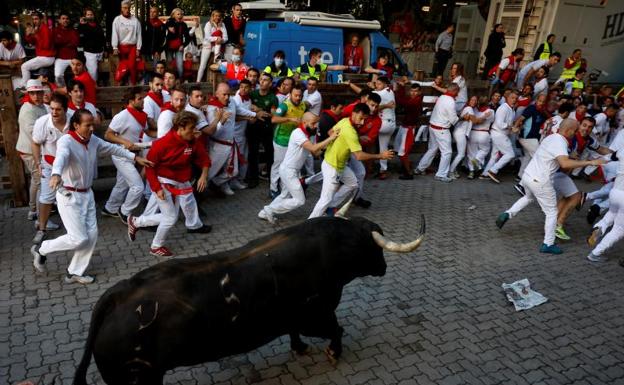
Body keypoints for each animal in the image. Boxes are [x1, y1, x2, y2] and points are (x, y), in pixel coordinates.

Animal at [73, 216, 424, 384]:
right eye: (374, 246)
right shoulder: (317, 314)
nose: (383, 267)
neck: (332, 248)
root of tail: (116, 296)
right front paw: (333, 352)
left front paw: (299, 348)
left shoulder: (296, 318)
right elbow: (336, 330)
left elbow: (295, 331)